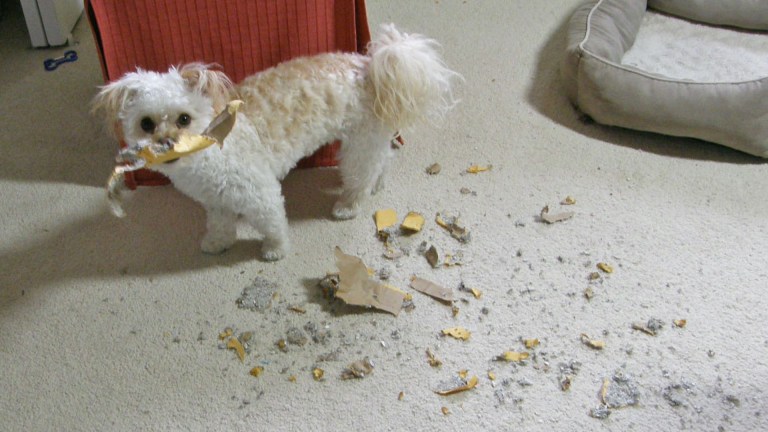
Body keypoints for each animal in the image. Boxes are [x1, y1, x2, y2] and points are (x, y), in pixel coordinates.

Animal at [93, 24, 460, 260]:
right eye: (146, 123)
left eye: (184, 119)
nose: (165, 142)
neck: (211, 151)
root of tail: (369, 64)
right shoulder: (216, 201)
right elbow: (220, 225)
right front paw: (217, 243)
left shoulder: (260, 193)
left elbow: (272, 224)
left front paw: (274, 250)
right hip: (370, 137)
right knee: (383, 159)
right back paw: (378, 184)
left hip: (359, 143)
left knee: (361, 173)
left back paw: (349, 203)